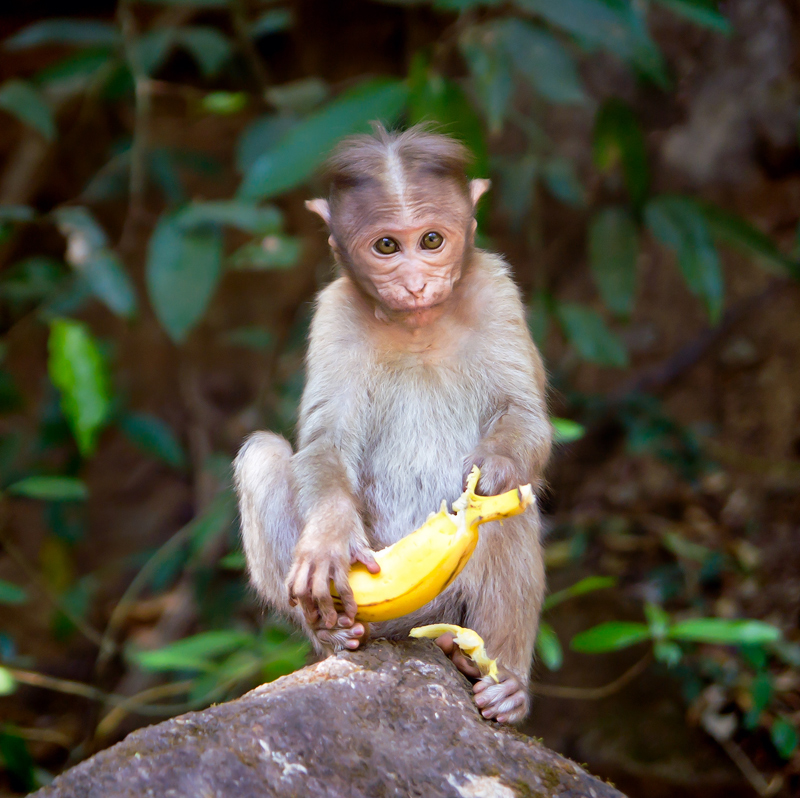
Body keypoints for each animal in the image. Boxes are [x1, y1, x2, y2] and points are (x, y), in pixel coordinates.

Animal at [234, 123, 552, 724]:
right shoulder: (334, 313)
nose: (414, 284)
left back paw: (498, 679)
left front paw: (493, 469)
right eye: (386, 246)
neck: (417, 328)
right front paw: (329, 539)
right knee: (264, 453)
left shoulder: (496, 289)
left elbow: (524, 416)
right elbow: (326, 441)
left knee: (510, 514)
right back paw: (332, 633)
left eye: (431, 241)